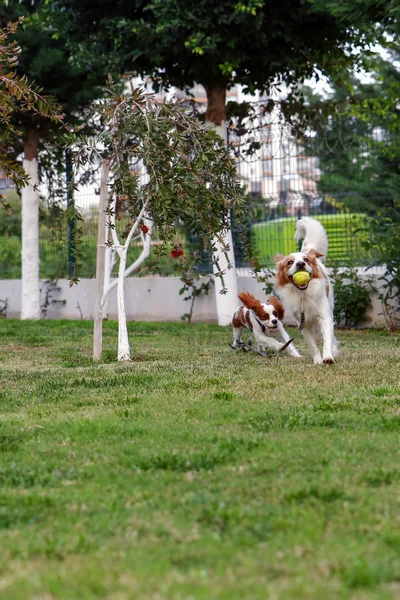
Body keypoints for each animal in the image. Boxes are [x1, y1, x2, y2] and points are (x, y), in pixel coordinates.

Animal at [272, 217, 338, 364]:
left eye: (306, 260)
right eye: (289, 262)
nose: (300, 264)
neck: (303, 294)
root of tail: (308, 250)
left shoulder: (324, 316)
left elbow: (327, 338)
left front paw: (328, 356)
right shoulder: (302, 324)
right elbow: (312, 344)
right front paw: (317, 359)